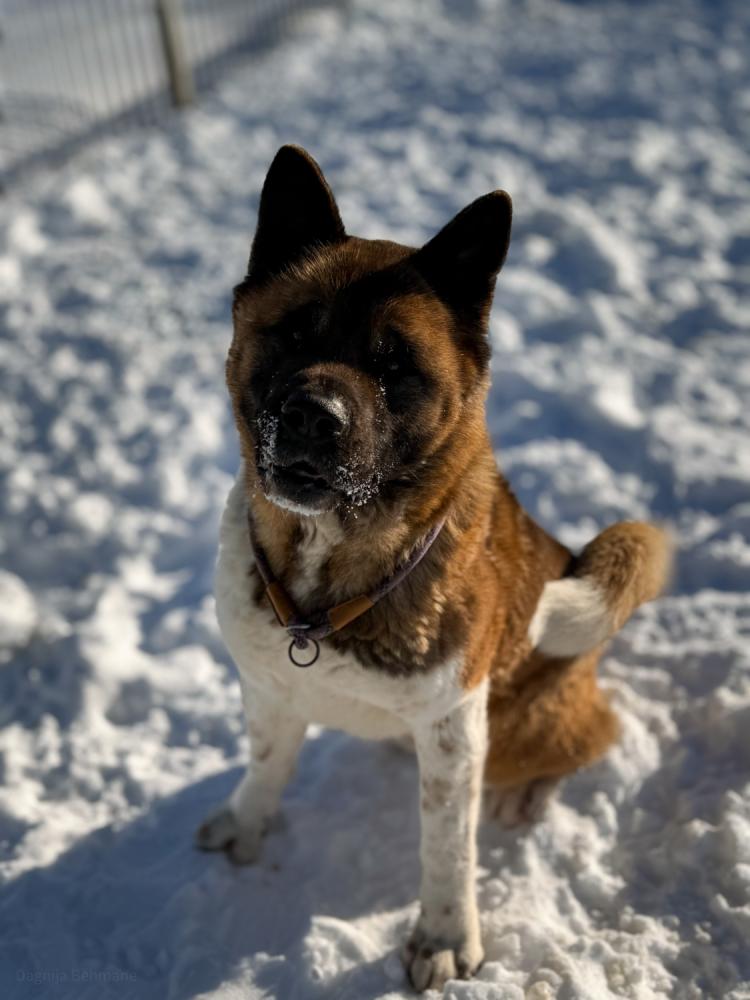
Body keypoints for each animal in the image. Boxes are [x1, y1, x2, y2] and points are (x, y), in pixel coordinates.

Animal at [196, 145, 670, 991]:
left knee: (600, 730)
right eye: (294, 332)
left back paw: (526, 799)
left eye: (395, 366)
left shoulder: (453, 732)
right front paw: (247, 827)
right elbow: (266, 766)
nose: (313, 415)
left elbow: (447, 847)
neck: (328, 591)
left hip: (526, 724)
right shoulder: (270, 688)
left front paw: (445, 938)